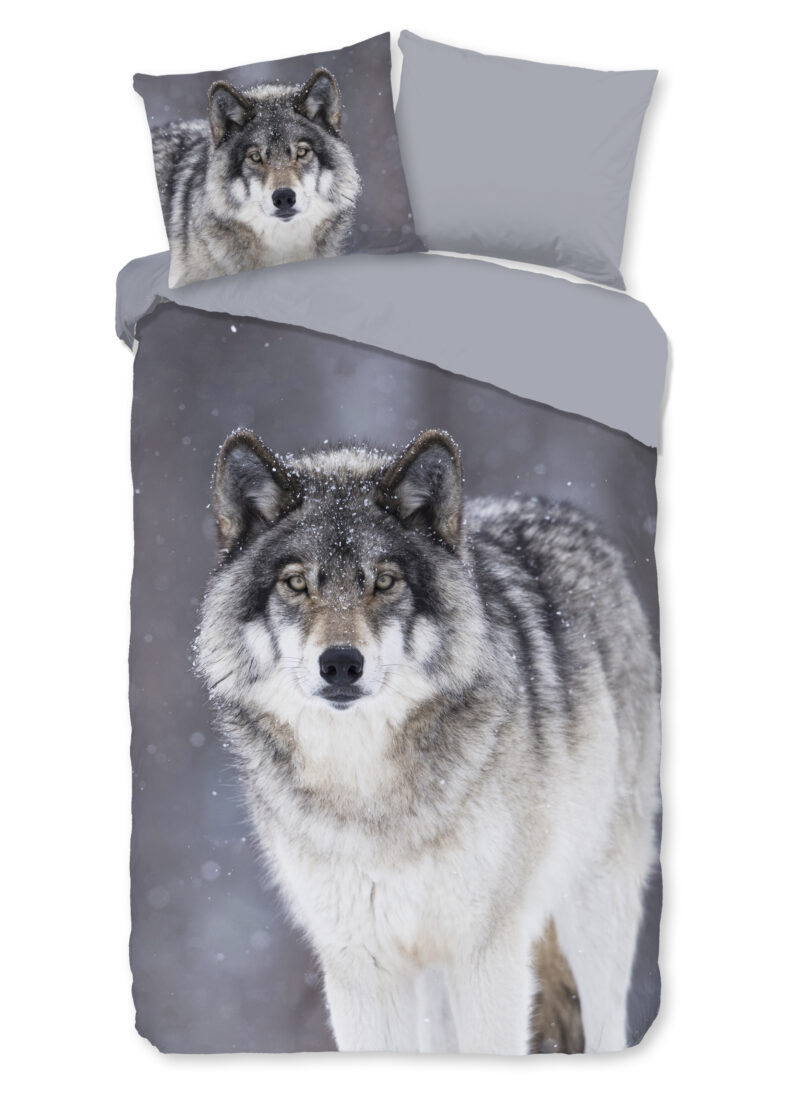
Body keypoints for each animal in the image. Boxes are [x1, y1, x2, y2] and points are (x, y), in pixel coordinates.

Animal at [195, 428, 661, 1055]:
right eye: (296, 583)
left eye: (384, 581)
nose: (340, 664)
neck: (367, 791)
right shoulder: (360, 969)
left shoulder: (487, 957)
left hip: (592, 919)